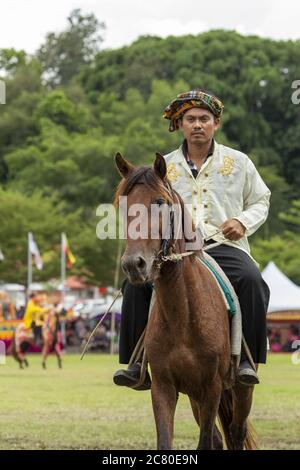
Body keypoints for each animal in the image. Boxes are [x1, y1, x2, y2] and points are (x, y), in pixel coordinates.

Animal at [113, 152, 256, 450]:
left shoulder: (212, 388)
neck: (184, 316)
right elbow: (167, 441)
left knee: (236, 431)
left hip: (239, 390)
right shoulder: (164, 387)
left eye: (160, 202)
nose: (134, 264)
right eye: (123, 205)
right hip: (194, 396)